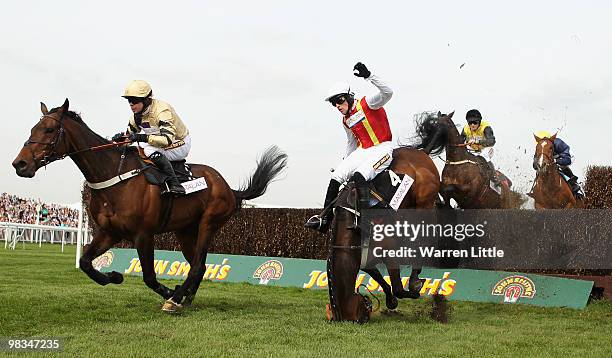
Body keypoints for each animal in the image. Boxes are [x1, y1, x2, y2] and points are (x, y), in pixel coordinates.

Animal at [10, 99, 286, 312]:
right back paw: (186, 297)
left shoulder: (144, 234)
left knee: (197, 265)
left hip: (209, 223)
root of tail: (228, 187)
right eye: (34, 128)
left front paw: (168, 292)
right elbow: (86, 263)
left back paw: (176, 298)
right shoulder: (109, 233)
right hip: (185, 230)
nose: (19, 164)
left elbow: (149, 276)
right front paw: (114, 276)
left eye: (49, 129)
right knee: (199, 265)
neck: (113, 175)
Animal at [326, 145, 440, 322]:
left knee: (424, 238)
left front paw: (411, 292)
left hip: (425, 203)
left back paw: (415, 279)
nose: (369, 308)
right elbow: (374, 273)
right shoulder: (365, 255)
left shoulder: (389, 249)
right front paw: (391, 299)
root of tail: (419, 151)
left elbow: (398, 288)